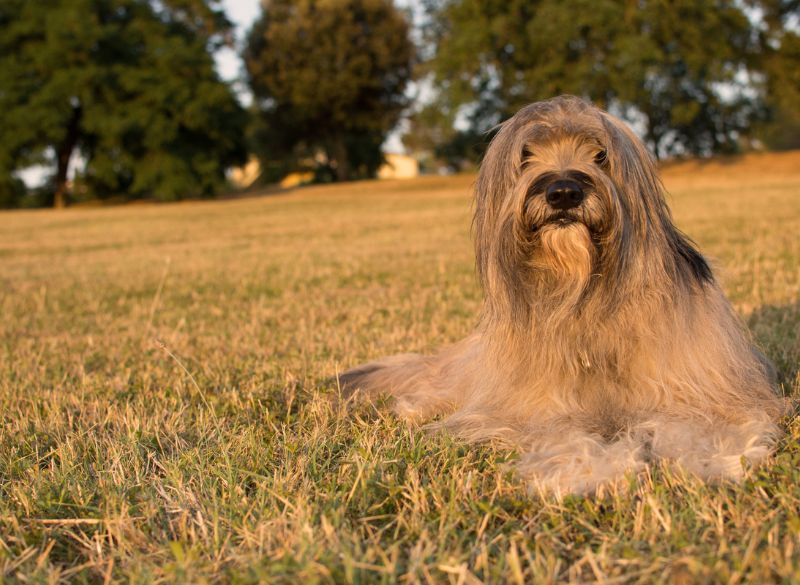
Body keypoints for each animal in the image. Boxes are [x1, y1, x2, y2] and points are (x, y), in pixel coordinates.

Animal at [336, 97, 780, 498]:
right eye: (526, 155)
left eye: (601, 154)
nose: (563, 192)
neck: (582, 293)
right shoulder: (536, 408)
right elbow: (562, 431)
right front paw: (588, 471)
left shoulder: (702, 389)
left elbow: (704, 423)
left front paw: (712, 460)